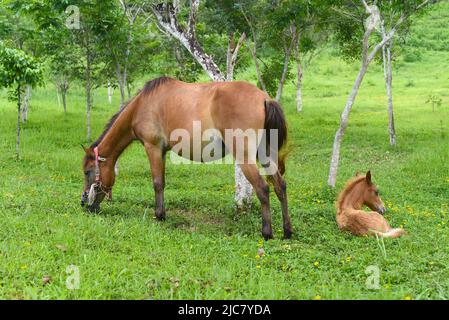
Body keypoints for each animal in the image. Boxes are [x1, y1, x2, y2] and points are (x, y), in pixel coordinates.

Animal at [80, 76, 290, 239]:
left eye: (88, 172)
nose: (84, 203)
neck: (142, 105)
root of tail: (264, 98)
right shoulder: (162, 151)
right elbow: (162, 182)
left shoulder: (152, 147)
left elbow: (157, 182)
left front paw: (159, 215)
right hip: (265, 154)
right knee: (280, 186)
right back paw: (287, 231)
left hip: (246, 157)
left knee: (262, 188)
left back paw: (267, 233)